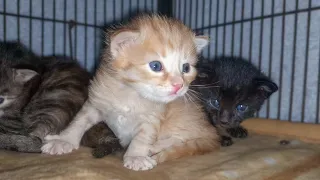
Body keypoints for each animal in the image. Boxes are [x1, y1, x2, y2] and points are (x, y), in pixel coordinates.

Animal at [41, 14, 219, 171]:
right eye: (156, 66)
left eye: (186, 68)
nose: (179, 85)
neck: (131, 94)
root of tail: (212, 131)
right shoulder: (97, 100)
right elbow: (80, 120)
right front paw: (63, 140)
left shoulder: (153, 117)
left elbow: (143, 136)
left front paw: (137, 156)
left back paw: (156, 147)